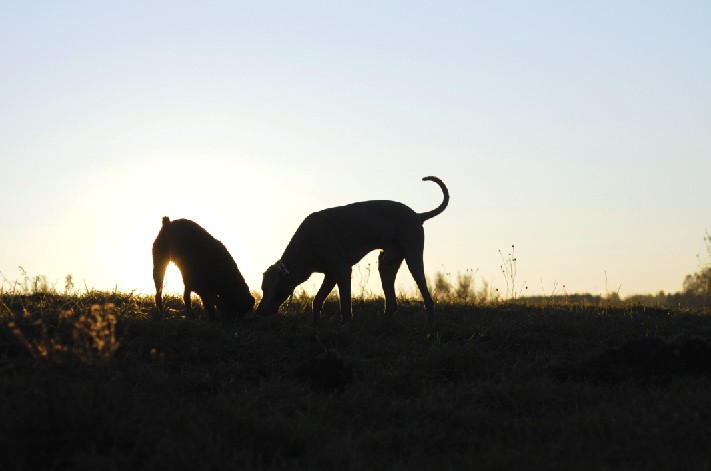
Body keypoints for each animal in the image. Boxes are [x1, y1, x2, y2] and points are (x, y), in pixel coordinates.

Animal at [256, 176, 448, 330]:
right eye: (263, 289)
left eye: (270, 290)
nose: (258, 311)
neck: (307, 242)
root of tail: (418, 215)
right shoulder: (330, 275)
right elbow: (317, 300)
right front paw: (315, 324)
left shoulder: (341, 270)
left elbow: (345, 303)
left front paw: (345, 326)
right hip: (386, 263)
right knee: (392, 303)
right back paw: (380, 326)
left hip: (413, 258)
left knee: (428, 299)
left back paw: (430, 327)